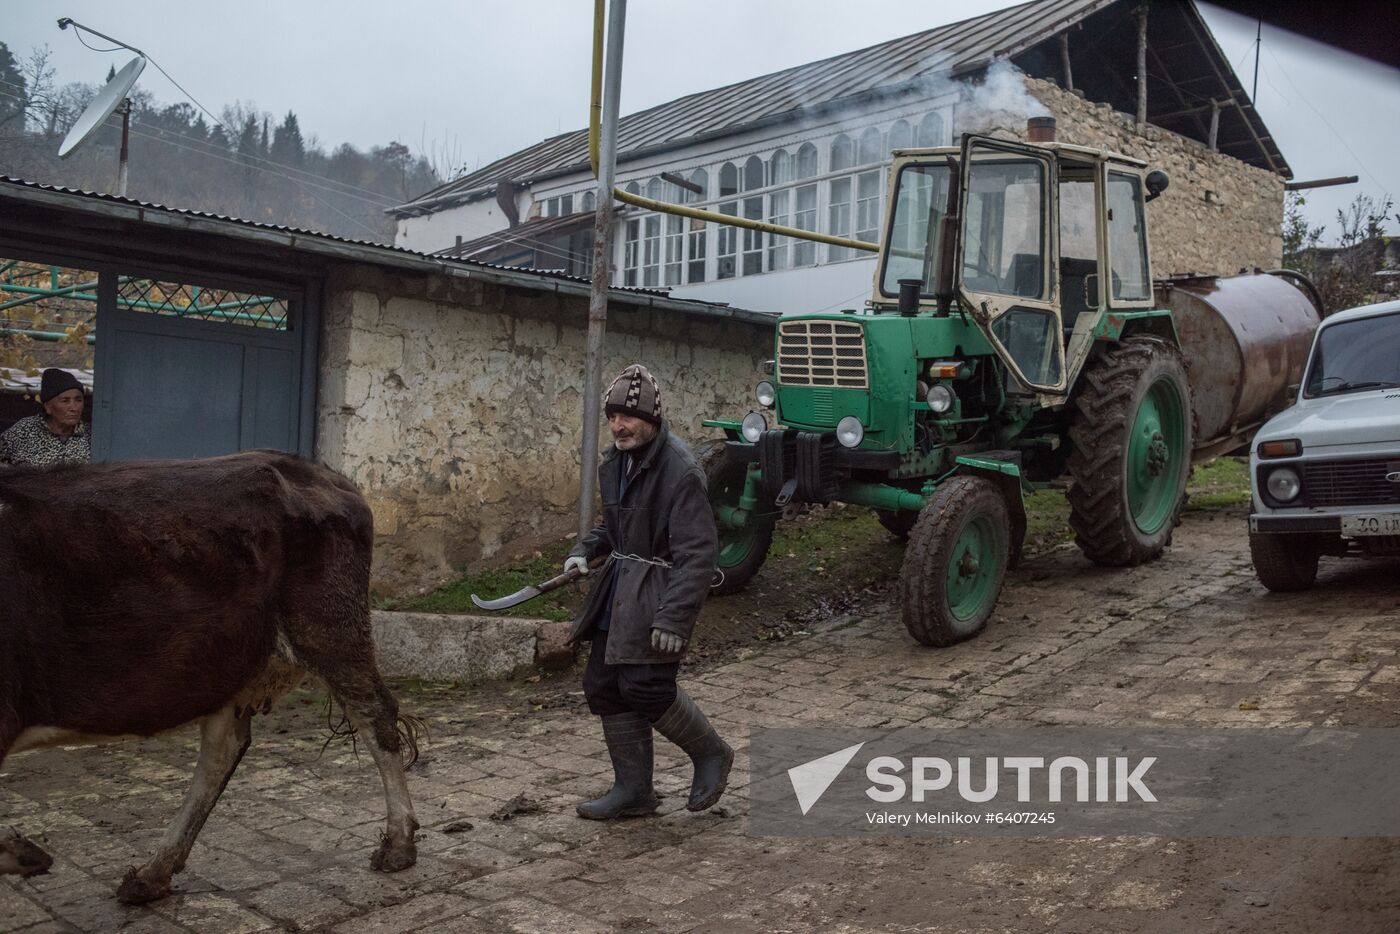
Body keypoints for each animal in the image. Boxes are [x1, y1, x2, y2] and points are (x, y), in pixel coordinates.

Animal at [0, 453, 414, 907]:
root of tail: (319, 472)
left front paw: (21, 852)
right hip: (226, 662)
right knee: (223, 748)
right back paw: (154, 872)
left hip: (328, 626)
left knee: (375, 714)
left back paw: (399, 845)